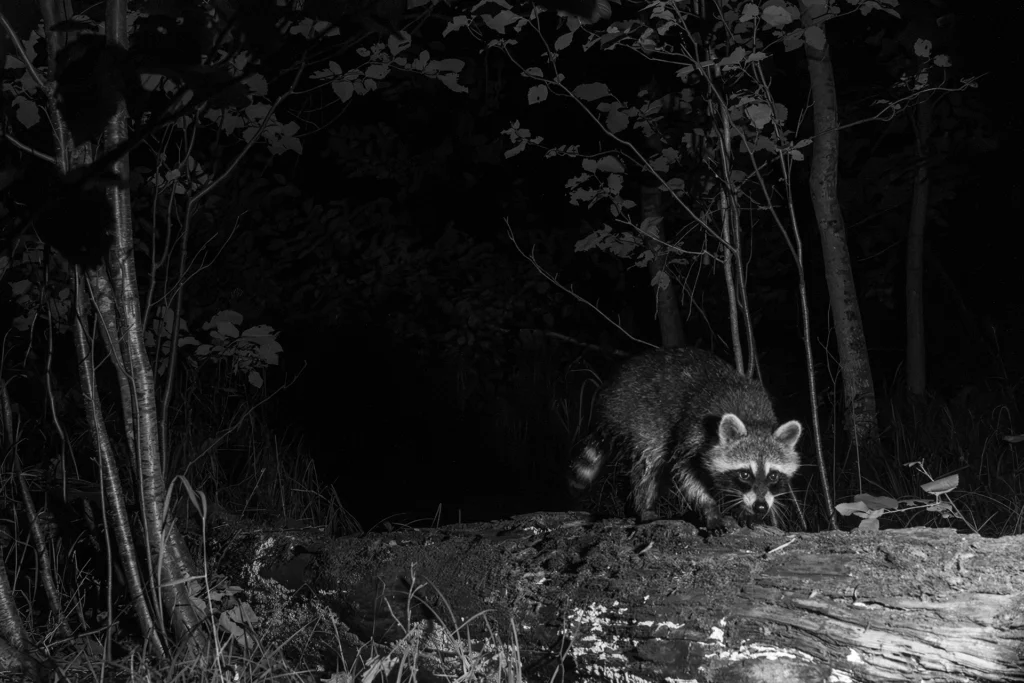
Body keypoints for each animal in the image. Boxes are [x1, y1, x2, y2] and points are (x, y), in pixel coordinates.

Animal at [570, 347, 802, 533]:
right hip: (639, 416)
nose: (761, 506)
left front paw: (744, 510)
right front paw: (710, 509)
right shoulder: (693, 431)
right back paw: (645, 507)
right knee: (648, 463)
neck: (753, 420)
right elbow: (685, 473)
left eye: (773, 475)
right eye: (745, 474)